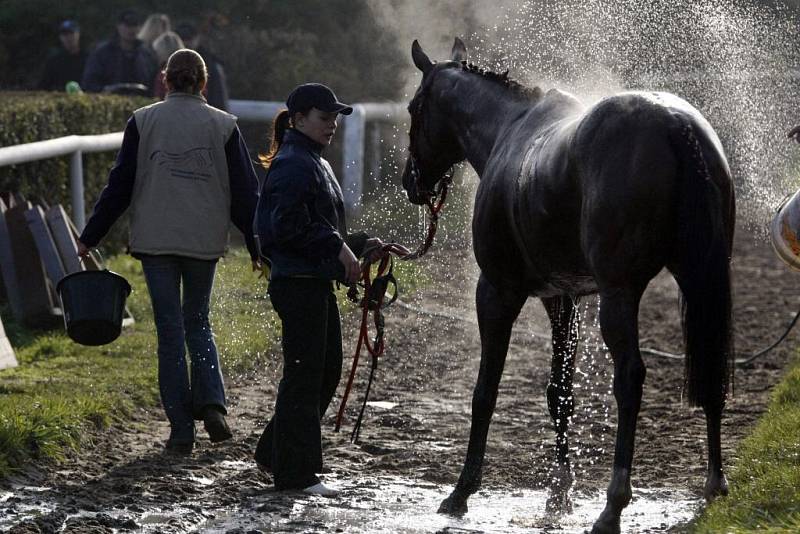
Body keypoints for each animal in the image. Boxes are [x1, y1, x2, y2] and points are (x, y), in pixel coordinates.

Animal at [404, 39, 736, 534]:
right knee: (710, 366)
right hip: (701, 279)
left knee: (630, 377)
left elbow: (485, 391)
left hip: (620, 295)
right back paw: (714, 484)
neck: (508, 132)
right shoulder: (561, 297)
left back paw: (613, 505)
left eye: (414, 108)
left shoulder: (497, 292)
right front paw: (559, 494)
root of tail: (674, 124)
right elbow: (559, 393)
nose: (412, 181)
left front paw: (462, 492)